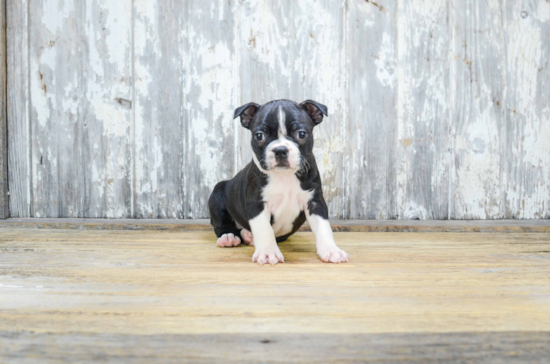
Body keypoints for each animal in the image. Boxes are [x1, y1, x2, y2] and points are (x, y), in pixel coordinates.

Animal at [209, 99, 352, 264]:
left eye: (301, 134)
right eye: (259, 136)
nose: (280, 150)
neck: (285, 176)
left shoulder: (315, 202)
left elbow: (324, 227)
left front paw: (332, 250)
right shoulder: (257, 203)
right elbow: (264, 229)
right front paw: (267, 252)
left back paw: (248, 236)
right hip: (217, 193)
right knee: (221, 224)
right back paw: (229, 237)